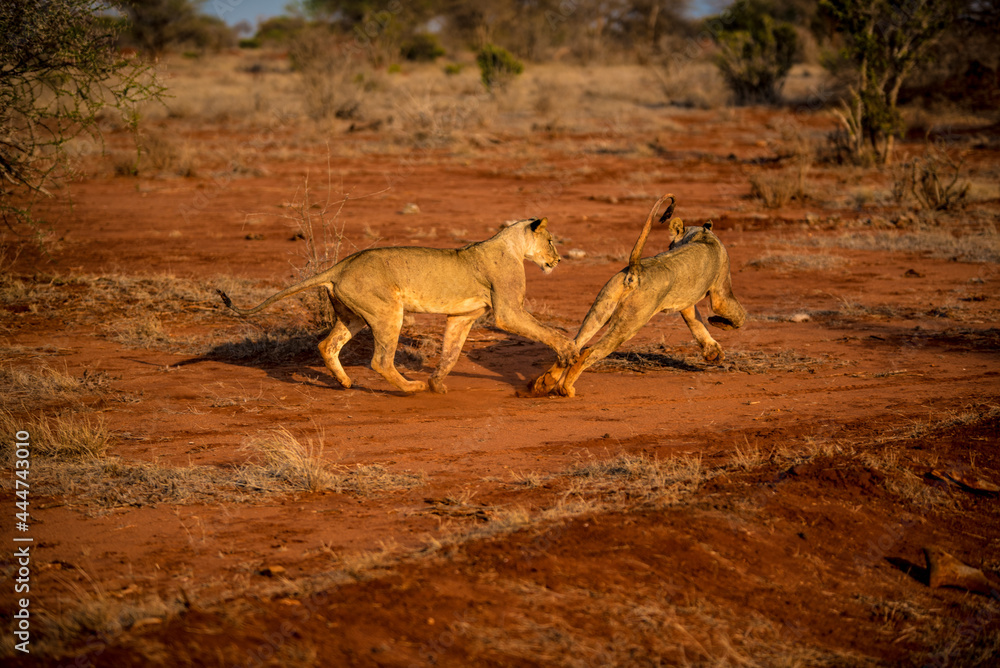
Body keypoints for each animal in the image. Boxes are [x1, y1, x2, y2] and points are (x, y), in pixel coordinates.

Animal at [218, 217, 576, 394]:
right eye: (551, 240)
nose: (558, 260)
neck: (512, 245)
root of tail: (340, 266)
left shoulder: (461, 316)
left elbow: (451, 351)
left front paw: (436, 384)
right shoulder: (507, 312)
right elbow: (548, 331)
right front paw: (569, 350)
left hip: (354, 316)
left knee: (326, 345)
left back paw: (346, 383)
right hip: (388, 312)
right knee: (379, 361)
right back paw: (409, 388)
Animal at [530, 195, 746, 397]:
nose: (669, 247)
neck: (702, 235)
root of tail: (636, 269)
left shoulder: (686, 302)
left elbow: (697, 324)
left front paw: (713, 353)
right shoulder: (720, 292)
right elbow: (737, 315)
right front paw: (718, 322)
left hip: (601, 309)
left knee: (574, 344)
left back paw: (544, 384)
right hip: (631, 322)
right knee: (589, 352)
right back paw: (565, 388)